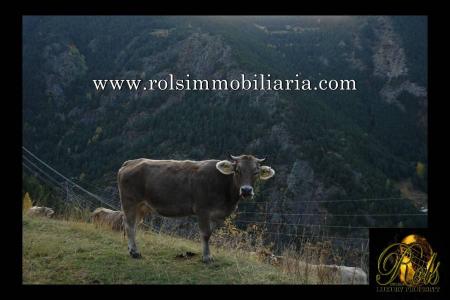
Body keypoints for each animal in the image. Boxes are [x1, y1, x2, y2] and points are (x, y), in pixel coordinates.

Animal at [116, 155, 276, 262]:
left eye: (256, 172)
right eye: (237, 170)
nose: (246, 190)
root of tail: (131, 162)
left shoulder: (217, 215)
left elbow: (210, 233)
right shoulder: (202, 210)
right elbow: (205, 234)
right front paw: (207, 257)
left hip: (142, 206)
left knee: (134, 225)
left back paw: (132, 249)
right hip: (130, 201)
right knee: (129, 225)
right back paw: (135, 252)